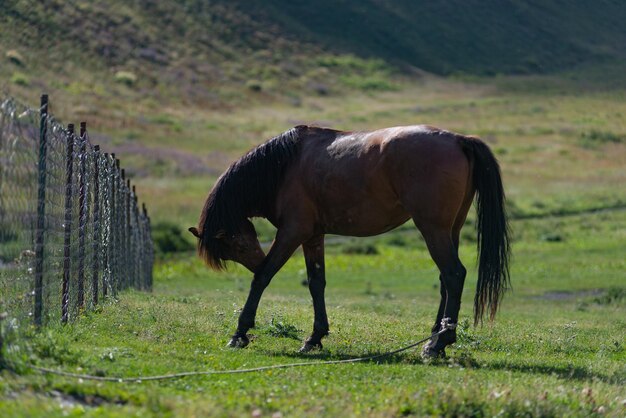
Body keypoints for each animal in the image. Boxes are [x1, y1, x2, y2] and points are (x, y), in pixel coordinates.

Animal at [188, 124, 510, 356]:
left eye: (235, 245)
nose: (253, 262)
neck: (283, 166)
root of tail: (458, 139)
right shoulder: (313, 237)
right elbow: (316, 283)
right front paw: (314, 338)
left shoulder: (292, 233)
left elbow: (264, 278)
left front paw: (240, 333)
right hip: (449, 230)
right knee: (446, 279)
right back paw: (434, 337)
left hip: (433, 230)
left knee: (454, 275)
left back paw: (438, 343)